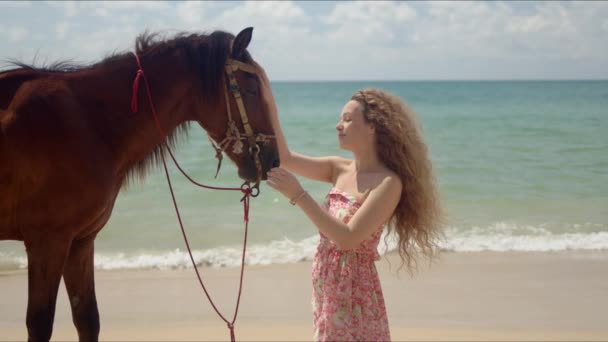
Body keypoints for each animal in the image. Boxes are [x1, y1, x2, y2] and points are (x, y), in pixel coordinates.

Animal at [0, 28, 280, 340]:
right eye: (251, 89)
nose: (273, 159)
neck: (87, 122)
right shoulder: (47, 241)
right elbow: (40, 324)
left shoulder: (80, 241)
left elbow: (87, 318)